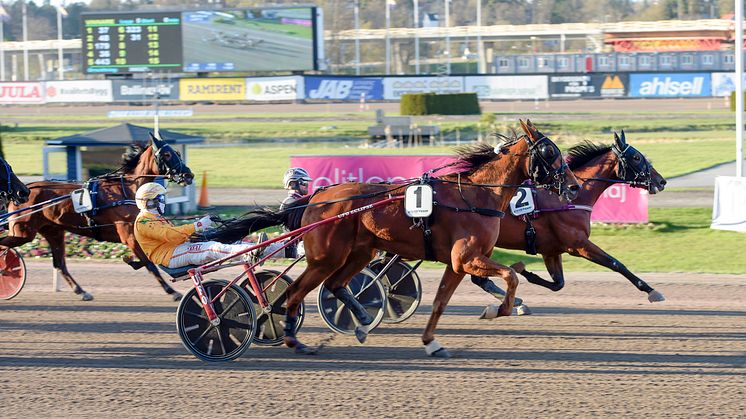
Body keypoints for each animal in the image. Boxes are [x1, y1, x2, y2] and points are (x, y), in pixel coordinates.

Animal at [0, 133, 192, 300]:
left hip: (53, 231)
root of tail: (26, 189)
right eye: (167, 154)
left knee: (60, 264)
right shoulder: (128, 234)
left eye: (177, 152)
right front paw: (172, 291)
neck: (127, 189)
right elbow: (149, 263)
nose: (189, 175)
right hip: (23, 233)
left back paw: (81, 291)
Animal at [211, 119, 580, 358]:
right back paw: (293, 339)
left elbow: (440, 302)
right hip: (326, 256)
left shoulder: (457, 264)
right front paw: (496, 309)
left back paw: (361, 321)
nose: (575, 186)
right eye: (549, 151)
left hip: (359, 252)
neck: (476, 196)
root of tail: (315, 198)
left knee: (335, 285)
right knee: (294, 292)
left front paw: (432, 342)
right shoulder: (467, 258)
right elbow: (512, 276)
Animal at [476, 131, 668, 318]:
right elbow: (616, 264)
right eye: (636, 157)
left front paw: (524, 272)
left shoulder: (551, 251)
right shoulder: (578, 245)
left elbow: (558, 283)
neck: (572, 198)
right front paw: (652, 291)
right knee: (479, 277)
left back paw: (514, 302)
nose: (661, 181)